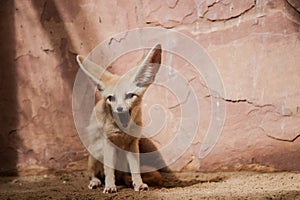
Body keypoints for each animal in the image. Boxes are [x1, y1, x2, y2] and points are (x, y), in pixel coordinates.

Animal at [76, 44, 163, 193]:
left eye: (130, 95)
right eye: (111, 98)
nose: (120, 109)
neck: (122, 133)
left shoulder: (133, 144)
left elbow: (135, 169)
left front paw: (138, 184)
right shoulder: (108, 142)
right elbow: (109, 170)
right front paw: (110, 186)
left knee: (123, 176)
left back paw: (127, 181)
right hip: (95, 152)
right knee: (93, 173)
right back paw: (95, 181)